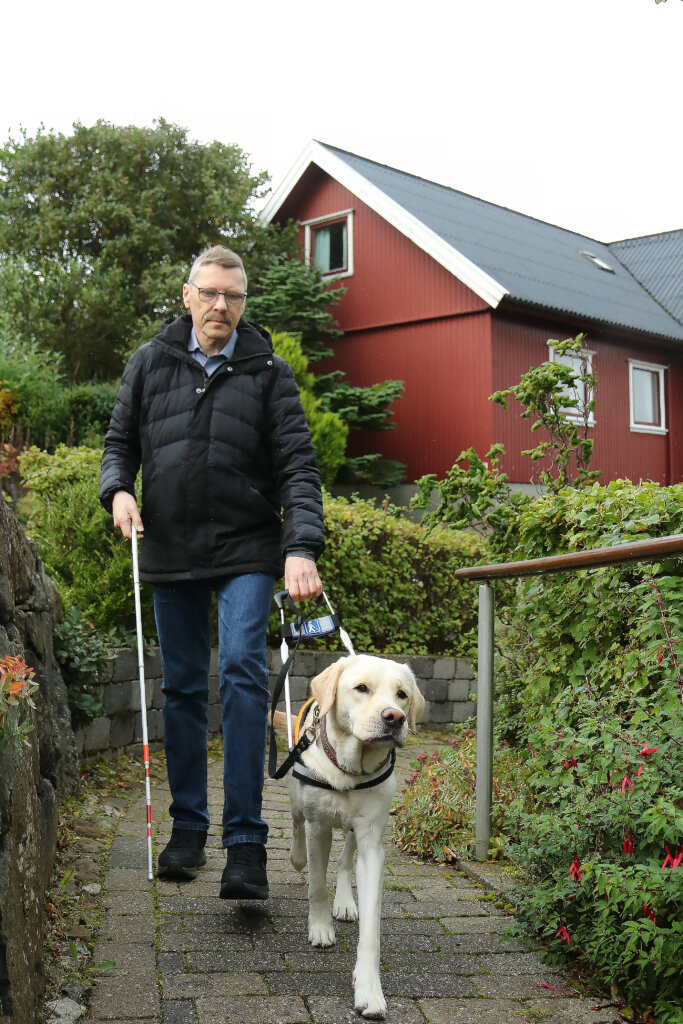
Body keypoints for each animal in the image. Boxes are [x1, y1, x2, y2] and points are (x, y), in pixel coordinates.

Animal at [270, 655, 421, 1015]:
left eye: (402, 695)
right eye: (361, 688)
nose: (395, 718)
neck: (349, 770)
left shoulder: (371, 841)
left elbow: (371, 929)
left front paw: (369, 989)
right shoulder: (318, 827)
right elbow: (316, 884)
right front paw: (321, 927)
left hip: (354, 829)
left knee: (344, 860)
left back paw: (344, 902)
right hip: (296, 799)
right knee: (296, 827)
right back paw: (297, 858)